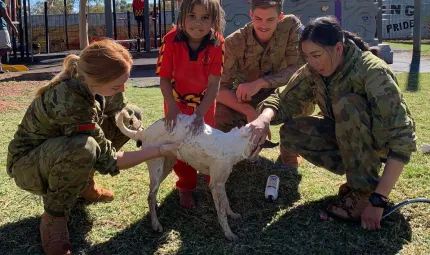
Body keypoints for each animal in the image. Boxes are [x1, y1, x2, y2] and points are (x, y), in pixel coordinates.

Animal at [115, 110, 276, 241]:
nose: (256, 161)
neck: (233, 143)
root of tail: (144, 133)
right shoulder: (215, 185)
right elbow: (221, 212)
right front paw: (228, 233)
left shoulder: (221, 183)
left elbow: (226, 202)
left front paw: (232, 214)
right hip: (157, 167)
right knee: (150, 195)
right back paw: (155, 223)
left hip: (166, 165)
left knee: (152, 194)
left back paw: (155, 206)